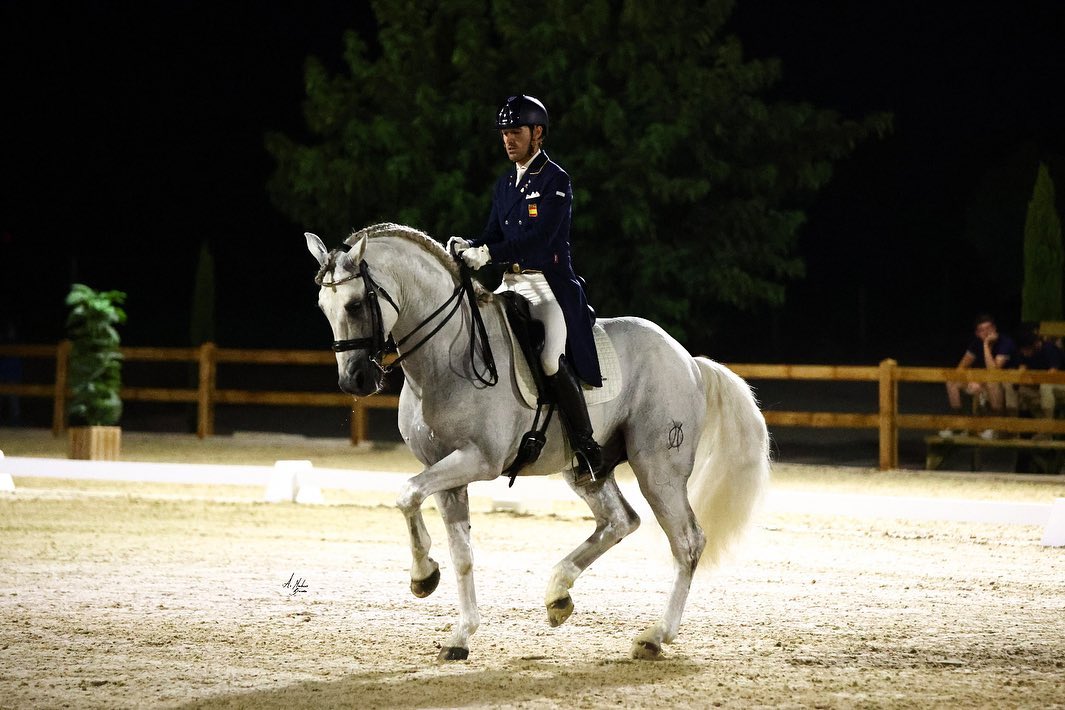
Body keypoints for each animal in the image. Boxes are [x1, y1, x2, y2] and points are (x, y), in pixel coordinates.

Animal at [304, 222, 771, 659]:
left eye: (356, 304)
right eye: (323, 307)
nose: (354, 381)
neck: (444, 358)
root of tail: (688, 359)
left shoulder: (479, 460)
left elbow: (406, 495)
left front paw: (423, 578)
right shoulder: (445, 469)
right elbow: (458, 548)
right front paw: (460, 634)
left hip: (658, 469)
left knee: (688, 542)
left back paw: (655, 637)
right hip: (588, 468)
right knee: (620, 520)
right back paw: (558, 596)